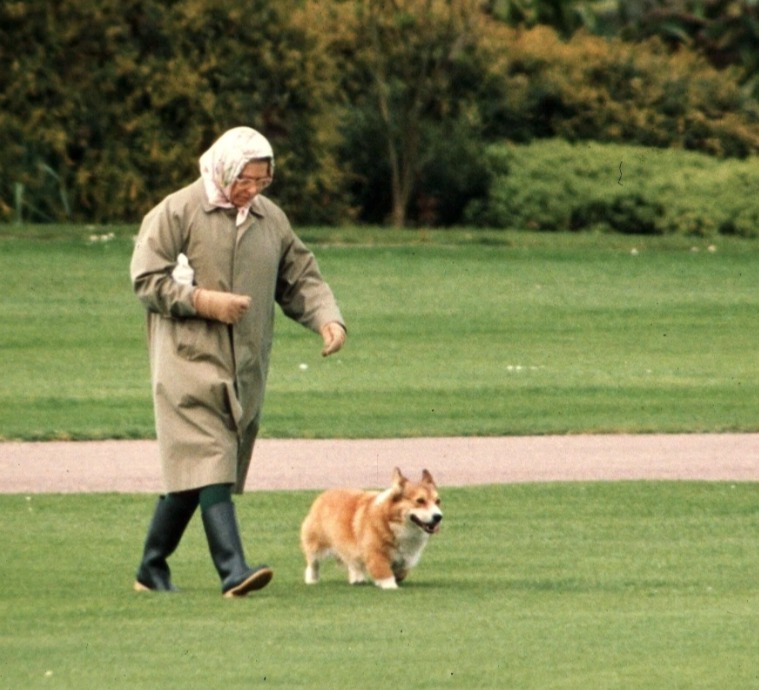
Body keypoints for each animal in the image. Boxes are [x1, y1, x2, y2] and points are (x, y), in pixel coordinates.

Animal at [300, 467, 442, 590]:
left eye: (437, 501)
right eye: (420, 501)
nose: (438, 517)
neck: (394, 523)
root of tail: (324, 495)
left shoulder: (407, 558)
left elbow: (402, 571)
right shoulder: (375, 554)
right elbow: (384, 572)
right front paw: (390, 586)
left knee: (353, 562)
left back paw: (357, 578)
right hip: (316, 545)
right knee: (313, 563)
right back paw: (312, 580)